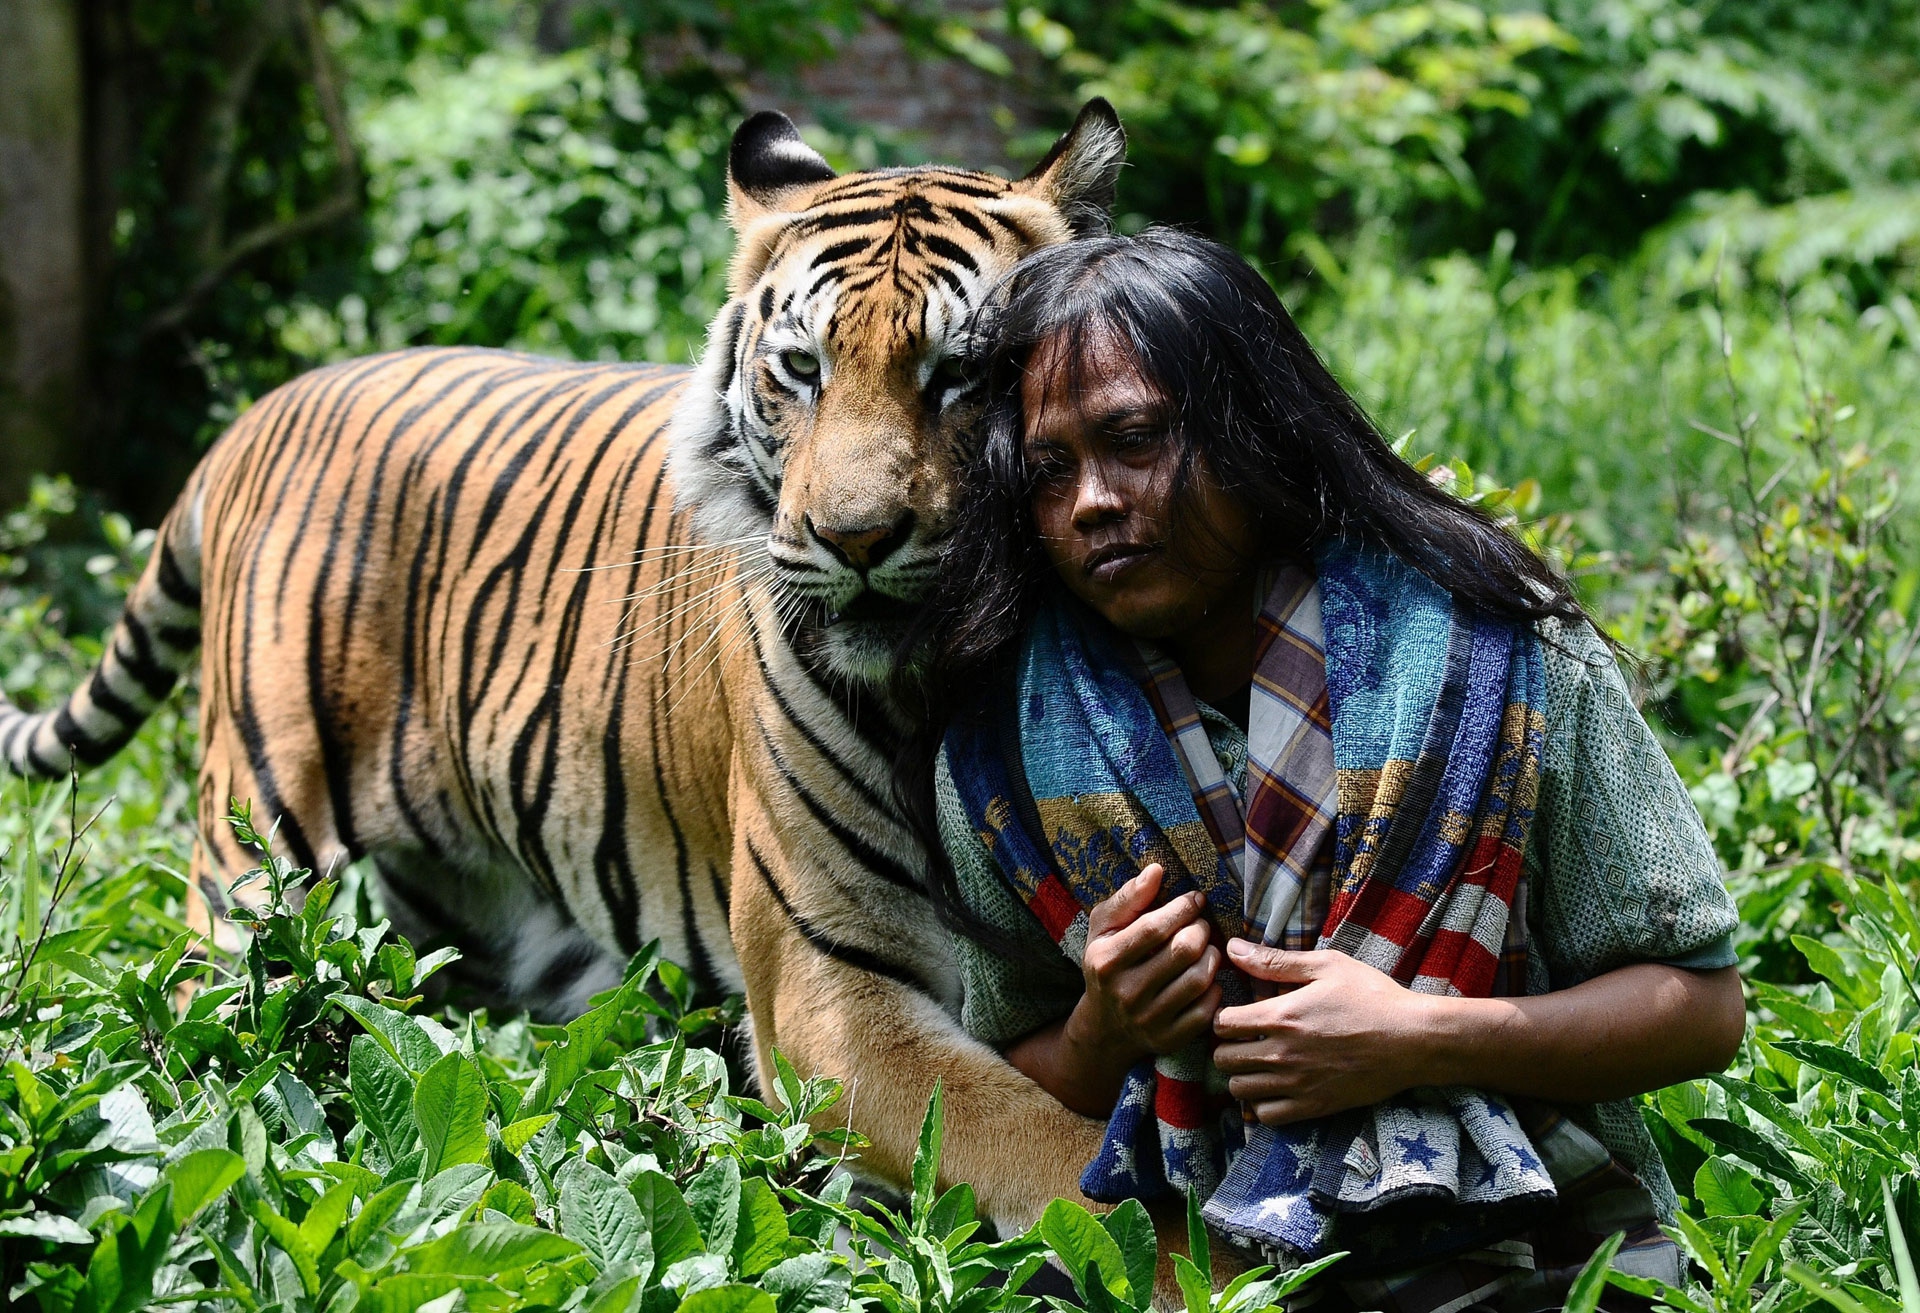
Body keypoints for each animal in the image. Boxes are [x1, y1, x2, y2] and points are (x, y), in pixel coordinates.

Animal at [0, 103, 1127, 1241]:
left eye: (962, 374)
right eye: (803, 368)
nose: (852, 538)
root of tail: (264, 409)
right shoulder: (831, 994)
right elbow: (1043, 1149)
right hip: (256, 861)